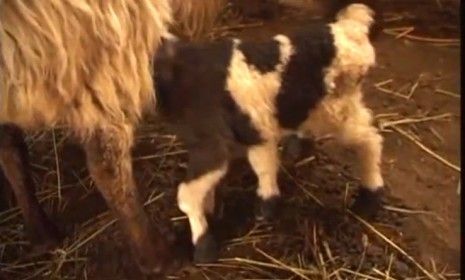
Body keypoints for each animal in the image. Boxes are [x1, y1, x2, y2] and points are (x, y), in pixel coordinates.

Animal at [153, 3, 384, 264]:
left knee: (369, 140)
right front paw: (261, 204)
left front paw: (204, 247)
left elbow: (188, 195)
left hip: (336, 107)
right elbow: (261, 164)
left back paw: (369, 198)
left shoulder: (212, 143)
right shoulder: (250, 131)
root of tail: (352, 28)